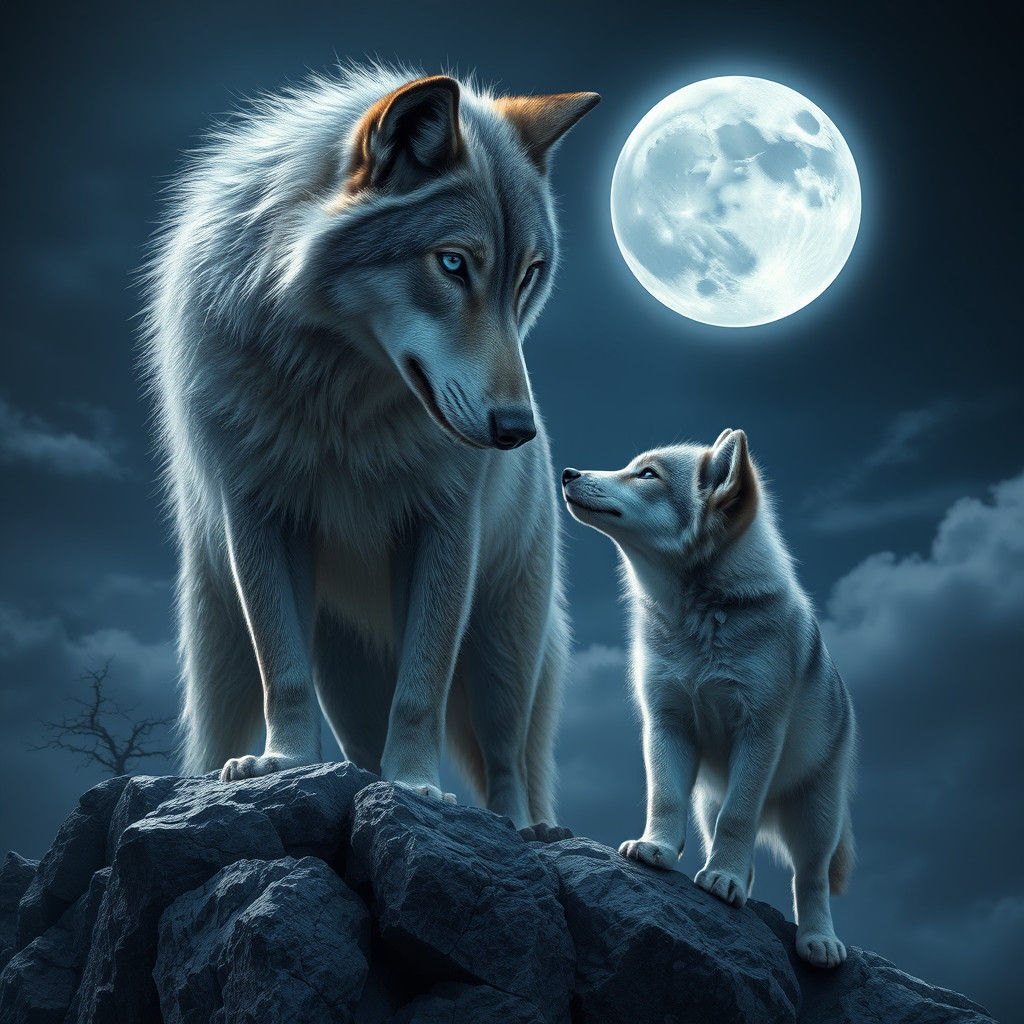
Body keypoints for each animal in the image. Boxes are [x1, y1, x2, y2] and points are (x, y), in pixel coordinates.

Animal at [143, 65, 599, 830]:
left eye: (528, 276)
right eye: (453, 264)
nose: (517, 431)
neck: (340, 401)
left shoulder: (446, 526)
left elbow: (421, 688)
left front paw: (414, 786)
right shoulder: (256, 516)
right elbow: (283, 670)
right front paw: (286, 764)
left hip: (503, 650)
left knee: (507, 756)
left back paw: (519, 826)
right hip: (245, 643)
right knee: (289, 727)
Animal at [562, 429, 856, 967]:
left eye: (647, 474)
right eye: (632, 466)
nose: (568, 473)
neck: (698, 617)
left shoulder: (759, 732)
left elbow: (739, 820)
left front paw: (722, 878)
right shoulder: (665, 721)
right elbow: (664, 797)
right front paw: (656, 849)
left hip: (816, 819)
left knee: (811, 880)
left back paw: (817, 940)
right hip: (708, 802)